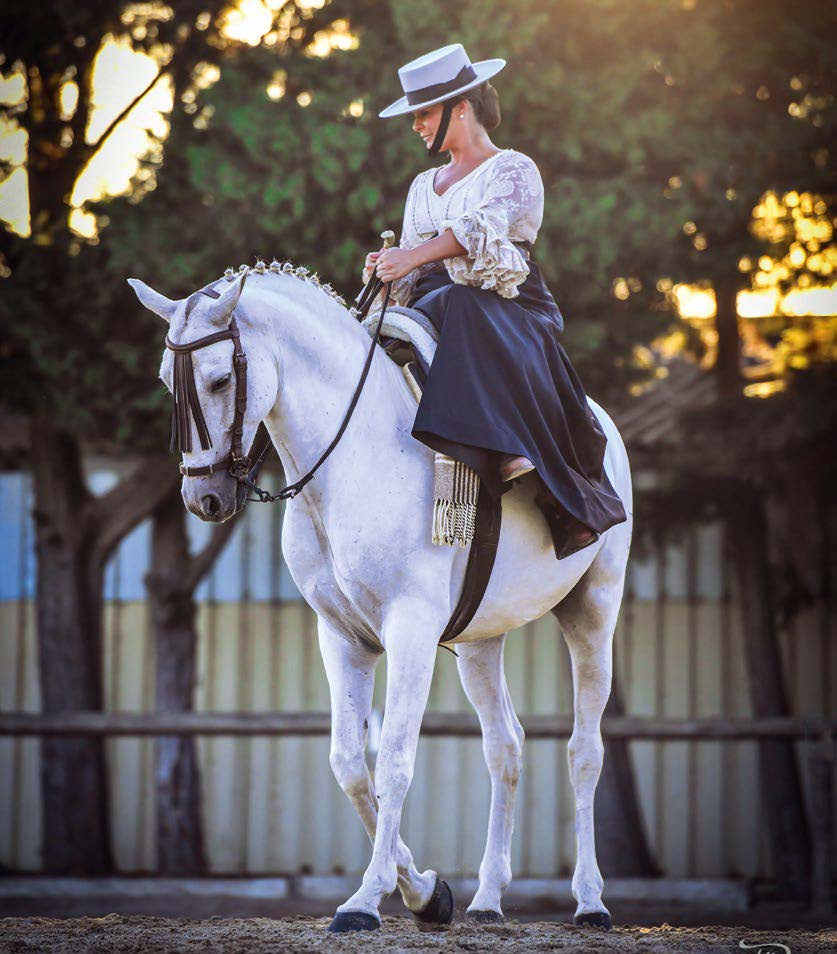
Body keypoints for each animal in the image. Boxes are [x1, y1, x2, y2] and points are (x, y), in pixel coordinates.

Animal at [127, 264, 632, 932]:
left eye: (218, 379)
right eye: (166, 380)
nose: (203, 499)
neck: (353, 458)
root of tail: (603, 423)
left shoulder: (410, 631)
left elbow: (393, 759)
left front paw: (366, 900)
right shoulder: (343, 637)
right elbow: (349, 764)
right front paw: (425, 892)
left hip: (592, 613)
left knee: (584, 751)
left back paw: (591, 901)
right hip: (480, 643)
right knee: (505, 747)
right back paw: (487, 899)